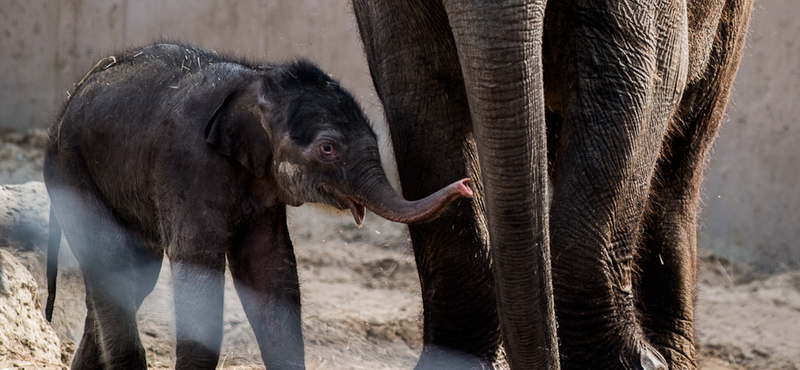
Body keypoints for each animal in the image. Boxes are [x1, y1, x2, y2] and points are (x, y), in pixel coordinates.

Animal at [43, 42, 472, 368]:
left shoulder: (265, 187)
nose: (467, 186)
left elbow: (269, 266)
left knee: (129, 275)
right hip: (71, 170)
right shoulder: (186, 165)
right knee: (110, 257)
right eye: (328, 149)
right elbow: (198, 264)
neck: (256, 82)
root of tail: (64, 105)